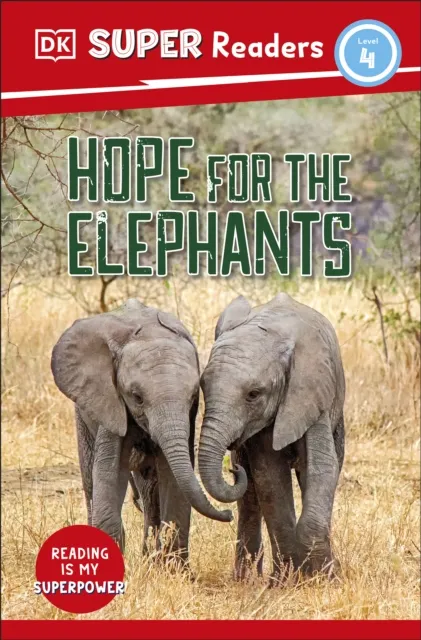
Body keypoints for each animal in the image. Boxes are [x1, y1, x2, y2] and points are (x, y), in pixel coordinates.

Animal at [51, 298, 232, 564]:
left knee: (149, 489)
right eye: (136, 397)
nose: (229, 513)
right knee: (91, 479)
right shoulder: (110, 398)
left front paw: (174, 569)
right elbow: (110, 470)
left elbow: (172, 475)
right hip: (83, 412)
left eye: (192, 396)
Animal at [198, 293, 345, 583]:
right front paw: (288, 580)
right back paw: (247, 579)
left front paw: (323, 579)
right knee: (249, 498)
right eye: (202, 386)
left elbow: (322, 468)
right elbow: (270, 478)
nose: (234, 469)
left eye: (253, 394)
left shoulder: (311, 394)